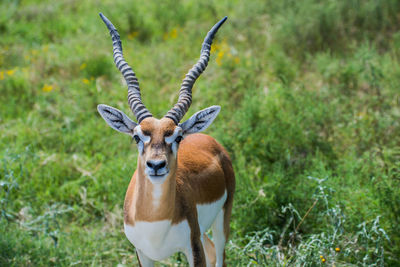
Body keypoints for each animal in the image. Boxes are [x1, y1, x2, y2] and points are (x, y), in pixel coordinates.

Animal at [96, 13, 234, 267]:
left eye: (177, 137)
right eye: (136, 137)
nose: (156, 165)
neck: (155, 221)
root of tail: (207, 138)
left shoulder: (193, 248)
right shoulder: (142, 253)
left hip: (221, 222)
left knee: (219, 254)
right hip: (203, 234)